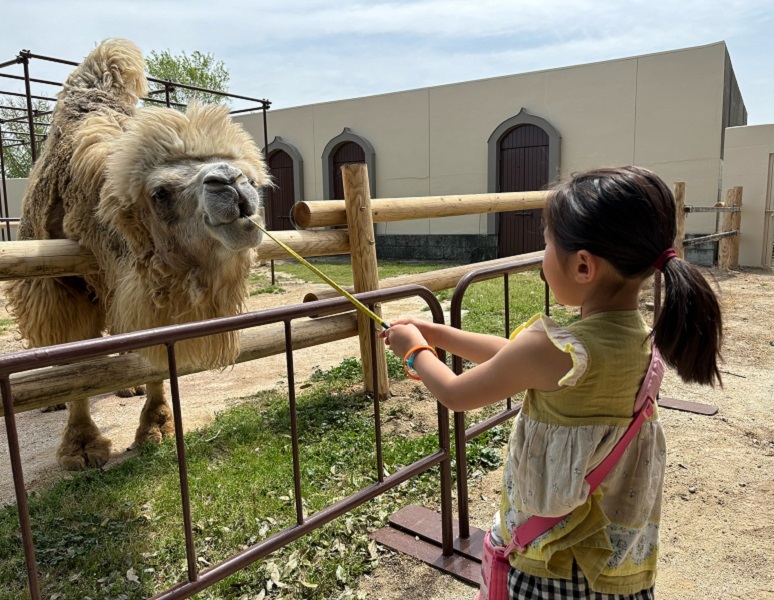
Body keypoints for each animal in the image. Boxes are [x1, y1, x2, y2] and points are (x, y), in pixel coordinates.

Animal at [6, 38, 272, 468]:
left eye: (247, 175)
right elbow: (78, 362)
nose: (232, 183)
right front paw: (81, 448)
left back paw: (126, 387)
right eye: (160, 193)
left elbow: (156, 354)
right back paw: (51, 399)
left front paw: (155, 427)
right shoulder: (61, 285)